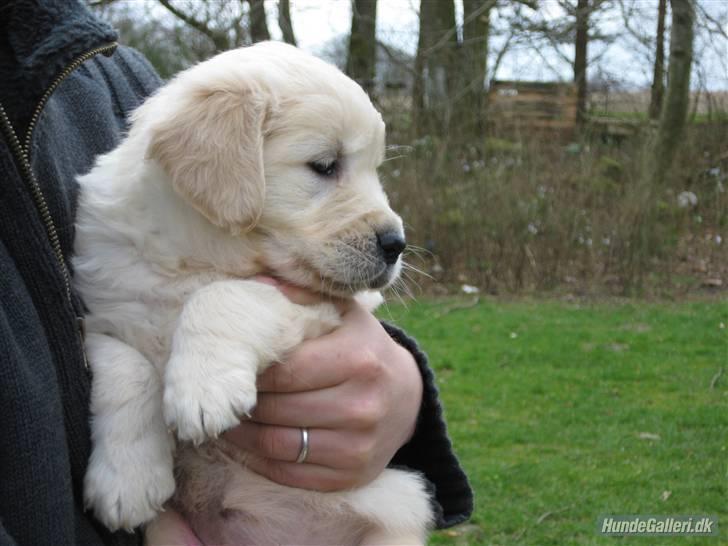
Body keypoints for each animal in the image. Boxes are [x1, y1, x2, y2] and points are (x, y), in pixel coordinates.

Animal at [72, 40, 432, 540]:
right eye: (325, 165)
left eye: (374, 169)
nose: (396, 245)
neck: (201, 254)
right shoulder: (102, 310)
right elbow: (127, 370)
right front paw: (126, 481)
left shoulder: (318, 305)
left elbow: (225, 296)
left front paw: (202, 389)